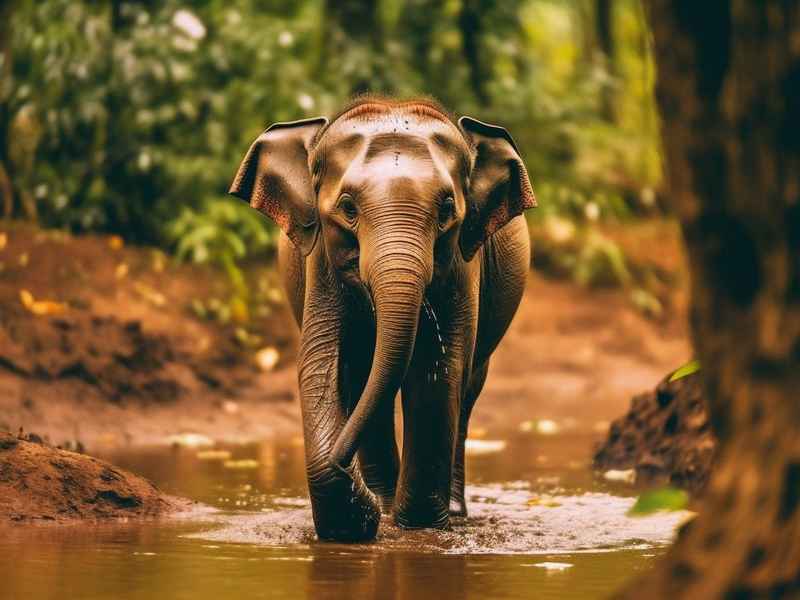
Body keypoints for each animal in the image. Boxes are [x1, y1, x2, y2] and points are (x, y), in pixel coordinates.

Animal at [230, 97, 535, 542]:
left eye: (447, 209)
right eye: (348, 208)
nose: (342, 463)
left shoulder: (463, 264)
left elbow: (438, 371)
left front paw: (417, 527)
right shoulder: (321, 257)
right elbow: (324, 365)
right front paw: (360, 520)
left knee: (466, 390)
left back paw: (446, 511)